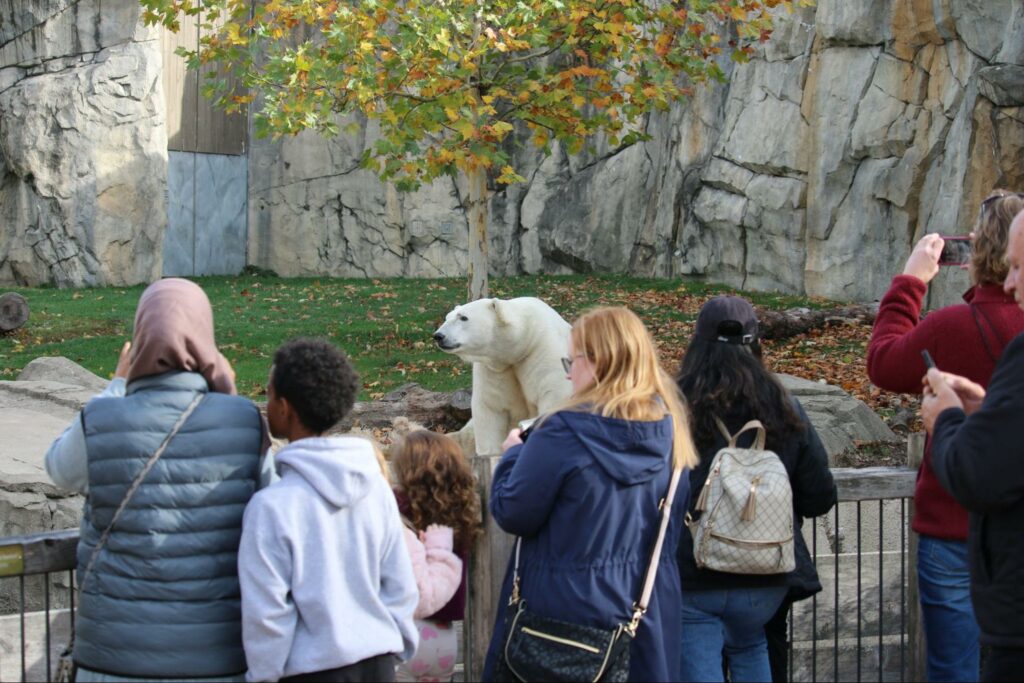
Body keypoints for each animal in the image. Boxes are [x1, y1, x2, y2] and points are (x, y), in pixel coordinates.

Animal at [434, 296, 577, 454]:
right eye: (447, 317)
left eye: (463, 317)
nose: (438, 336)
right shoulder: (494, 369)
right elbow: (490, 408)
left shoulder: (544, 351)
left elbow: (554, 397)